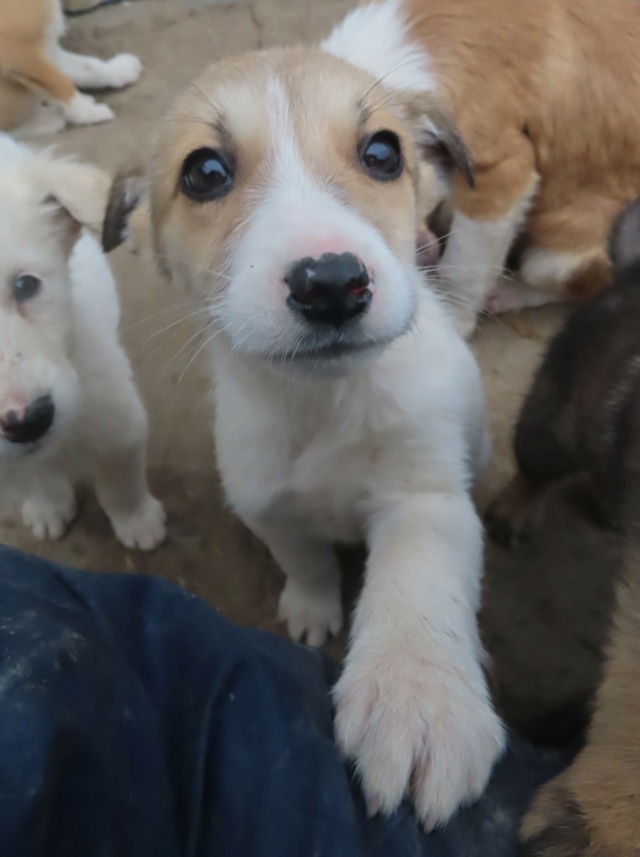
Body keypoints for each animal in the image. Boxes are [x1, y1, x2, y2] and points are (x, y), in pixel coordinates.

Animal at [0, 0, 141, 135]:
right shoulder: (16, 51)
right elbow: (61, 82)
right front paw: (87, 112)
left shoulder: (48, 49)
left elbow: (89, 67)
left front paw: (121, 69)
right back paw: (48, 120)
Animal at [0, 134, 168, 548]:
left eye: (26, 285)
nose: (27, 421)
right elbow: (36, 478)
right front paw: (47, 506)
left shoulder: (117, 415)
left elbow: (120, 477)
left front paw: (137, 521)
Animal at [102, 46, 508, 828]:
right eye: (205, 171)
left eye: (382, 153)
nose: (332, 283)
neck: (324, 406)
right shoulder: (266, 503)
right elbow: (306, 559)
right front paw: (314, 609)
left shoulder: (424, 498)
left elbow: (416, 583)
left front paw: (417, 698)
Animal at [324, 0, 640, 336]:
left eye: (381, 159)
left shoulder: (500, 179)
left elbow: (464, 269)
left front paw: (453, 322)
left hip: (560, 253)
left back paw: (508, 292)